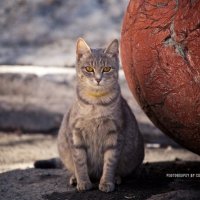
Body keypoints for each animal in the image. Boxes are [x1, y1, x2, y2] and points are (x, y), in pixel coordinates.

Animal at [34, 37, 144, 192]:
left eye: (106, 69)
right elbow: (80, 162)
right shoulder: (76, 133)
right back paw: (75, 178)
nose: (98, 79)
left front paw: (107, 182)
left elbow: (110, 162)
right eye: (89, 69)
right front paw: (83, 181)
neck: (96, 103)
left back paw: (117, 178)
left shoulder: (115, 134)